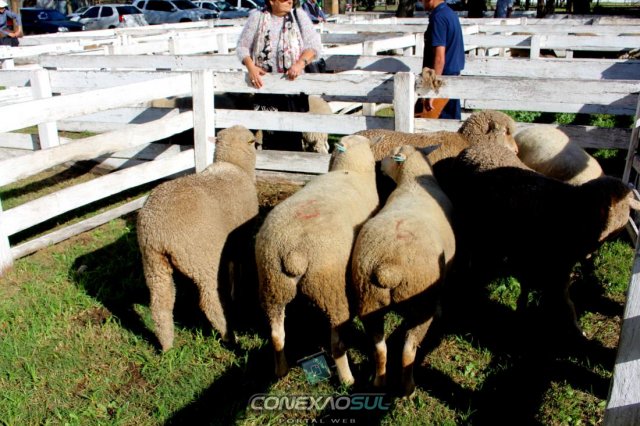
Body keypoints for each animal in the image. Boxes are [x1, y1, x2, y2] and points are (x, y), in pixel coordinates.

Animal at [136, 125, 259, 352]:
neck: (234, 165)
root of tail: (159, 233)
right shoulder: (240, 240)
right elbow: (236, 267)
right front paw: (237, 292)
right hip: (202, 259)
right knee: (210, 300)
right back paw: (229, 335)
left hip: (152, 262)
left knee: (160, 303)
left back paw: (166, 345)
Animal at [255, 135, 379, 385]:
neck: (350, 170)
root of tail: (294, 253)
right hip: (330, 288)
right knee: (337, 342)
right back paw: (347, 379)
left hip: (273, 284)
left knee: (277, 334)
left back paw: (281, 370)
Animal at [351, 145, 456, 396]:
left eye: (391, 155)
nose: (379, 164)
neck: (412, 182)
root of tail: (390, 269)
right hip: (420, 304)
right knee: (408, 349)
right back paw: (408, 388)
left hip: (368, 300)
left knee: (379, 347)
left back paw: (379, 381)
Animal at [437, 141, 640, 340]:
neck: (573, 210)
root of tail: (476, 146)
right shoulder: (546, 263)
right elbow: (564, 302)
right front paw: (576, 330)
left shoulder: (548, 262)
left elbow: (531, 285)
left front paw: (522, 309)